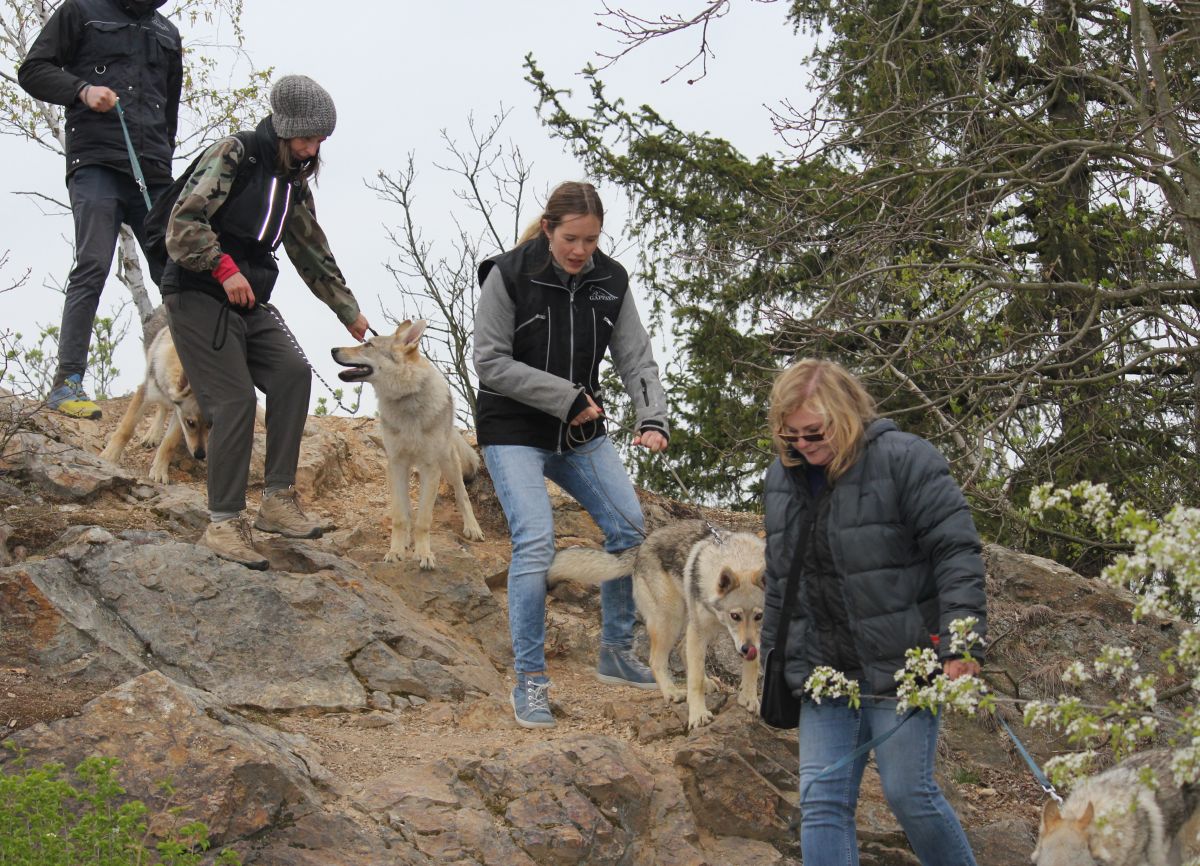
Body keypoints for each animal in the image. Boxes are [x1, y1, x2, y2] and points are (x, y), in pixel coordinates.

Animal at [331, 316, 484, 566]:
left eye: (368, 345)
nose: (333, 349)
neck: (406, 399)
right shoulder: (396, 464)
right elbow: (401, 516)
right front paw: (396, 551)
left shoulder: (430, 468)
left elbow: (424, 520)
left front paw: (424, 555)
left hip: (448, 464)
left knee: (462, 495)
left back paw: (472, 528)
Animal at [549, 520, 763, 729]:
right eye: (735, 616)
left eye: (759, 616)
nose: (747, 649)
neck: (740, 557)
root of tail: (643, 544)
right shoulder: (701, 630)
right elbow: (694, 682)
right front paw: (698, 715)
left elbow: (752, 668)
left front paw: (749, 698)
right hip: (671, 621)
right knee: (657, 660)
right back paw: (672, 692)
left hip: (696, 627)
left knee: (681, 649)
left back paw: (705, 682)